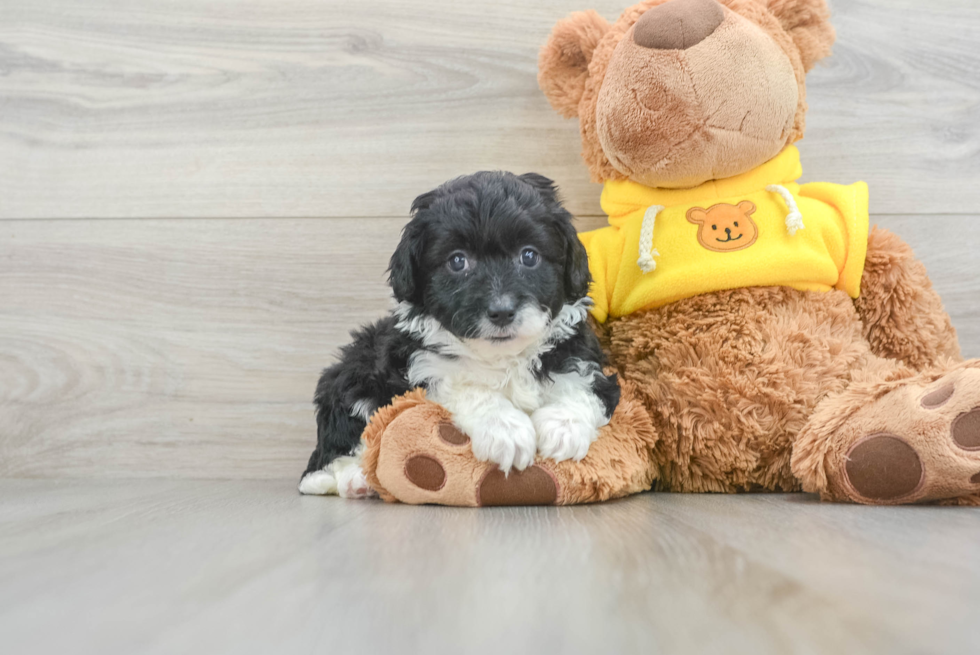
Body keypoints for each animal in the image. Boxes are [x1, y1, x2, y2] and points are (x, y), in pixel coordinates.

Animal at [298, 172, 620, 500]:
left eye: (529, 256)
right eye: (457, 261)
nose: (501, 311)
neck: (501, 358)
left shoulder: (584, 360)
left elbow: (581, 386)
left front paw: (564, 429)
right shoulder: (422, 370)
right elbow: (469, 387)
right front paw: (506, 430)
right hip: (351, 378)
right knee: (335, 449)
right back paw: (354, 479)